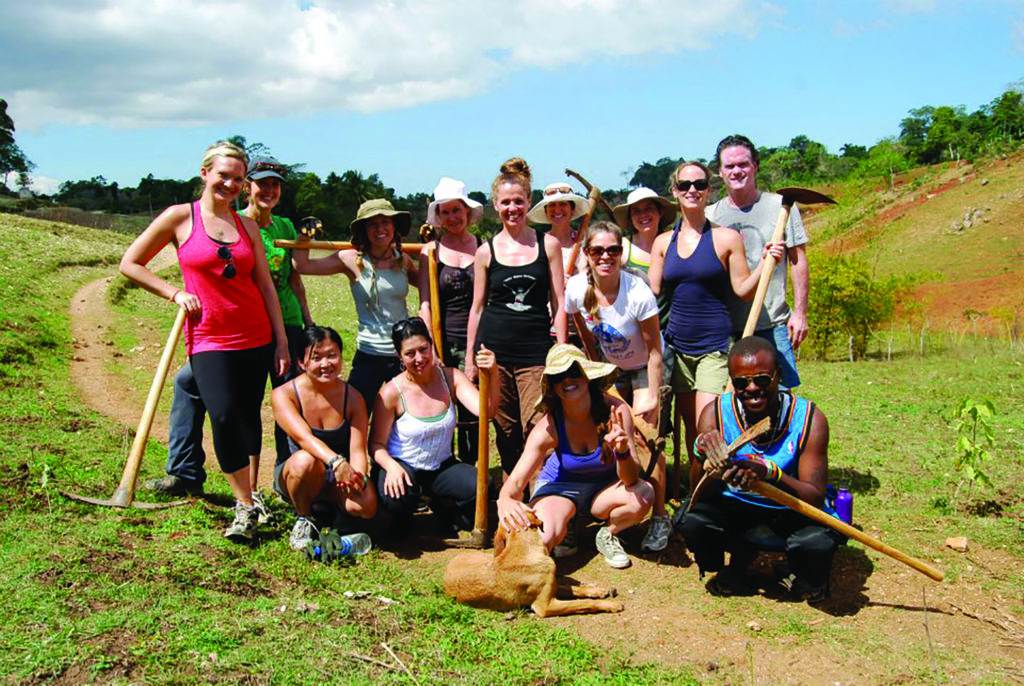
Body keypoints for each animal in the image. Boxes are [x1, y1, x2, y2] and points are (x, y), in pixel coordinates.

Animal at [442, 509, 622, 618]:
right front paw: (610, 604)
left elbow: (573, 589)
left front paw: (597, 591)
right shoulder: (545, 606)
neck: (523, 550)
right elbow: (582, 603)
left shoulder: (551, 586)